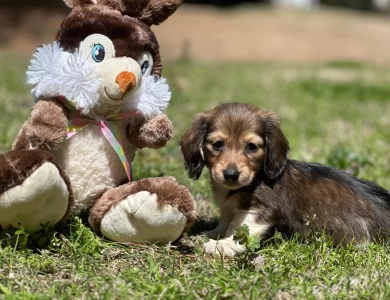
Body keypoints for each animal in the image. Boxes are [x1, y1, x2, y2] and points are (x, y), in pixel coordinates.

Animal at [180, 102, 390, 255]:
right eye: (218, 144)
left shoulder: (259, 210)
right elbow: (225, 221)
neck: (256, 178)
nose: (231, 175)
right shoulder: (228, 208)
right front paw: (210, 234)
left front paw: (222, 245)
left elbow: (238, 227)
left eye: (251, 147)